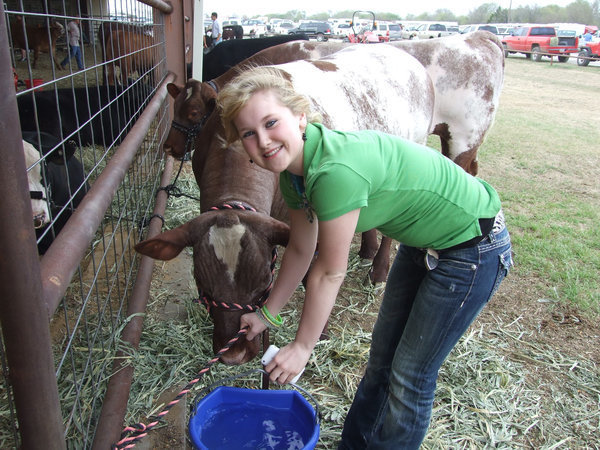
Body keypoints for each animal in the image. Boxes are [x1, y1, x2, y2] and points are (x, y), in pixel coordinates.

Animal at [136, 44, 436, 364]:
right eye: (202, 283)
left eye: (261, 283)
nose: (234, 355)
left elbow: (310, 276)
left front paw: (320, 332)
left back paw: (378, 270)